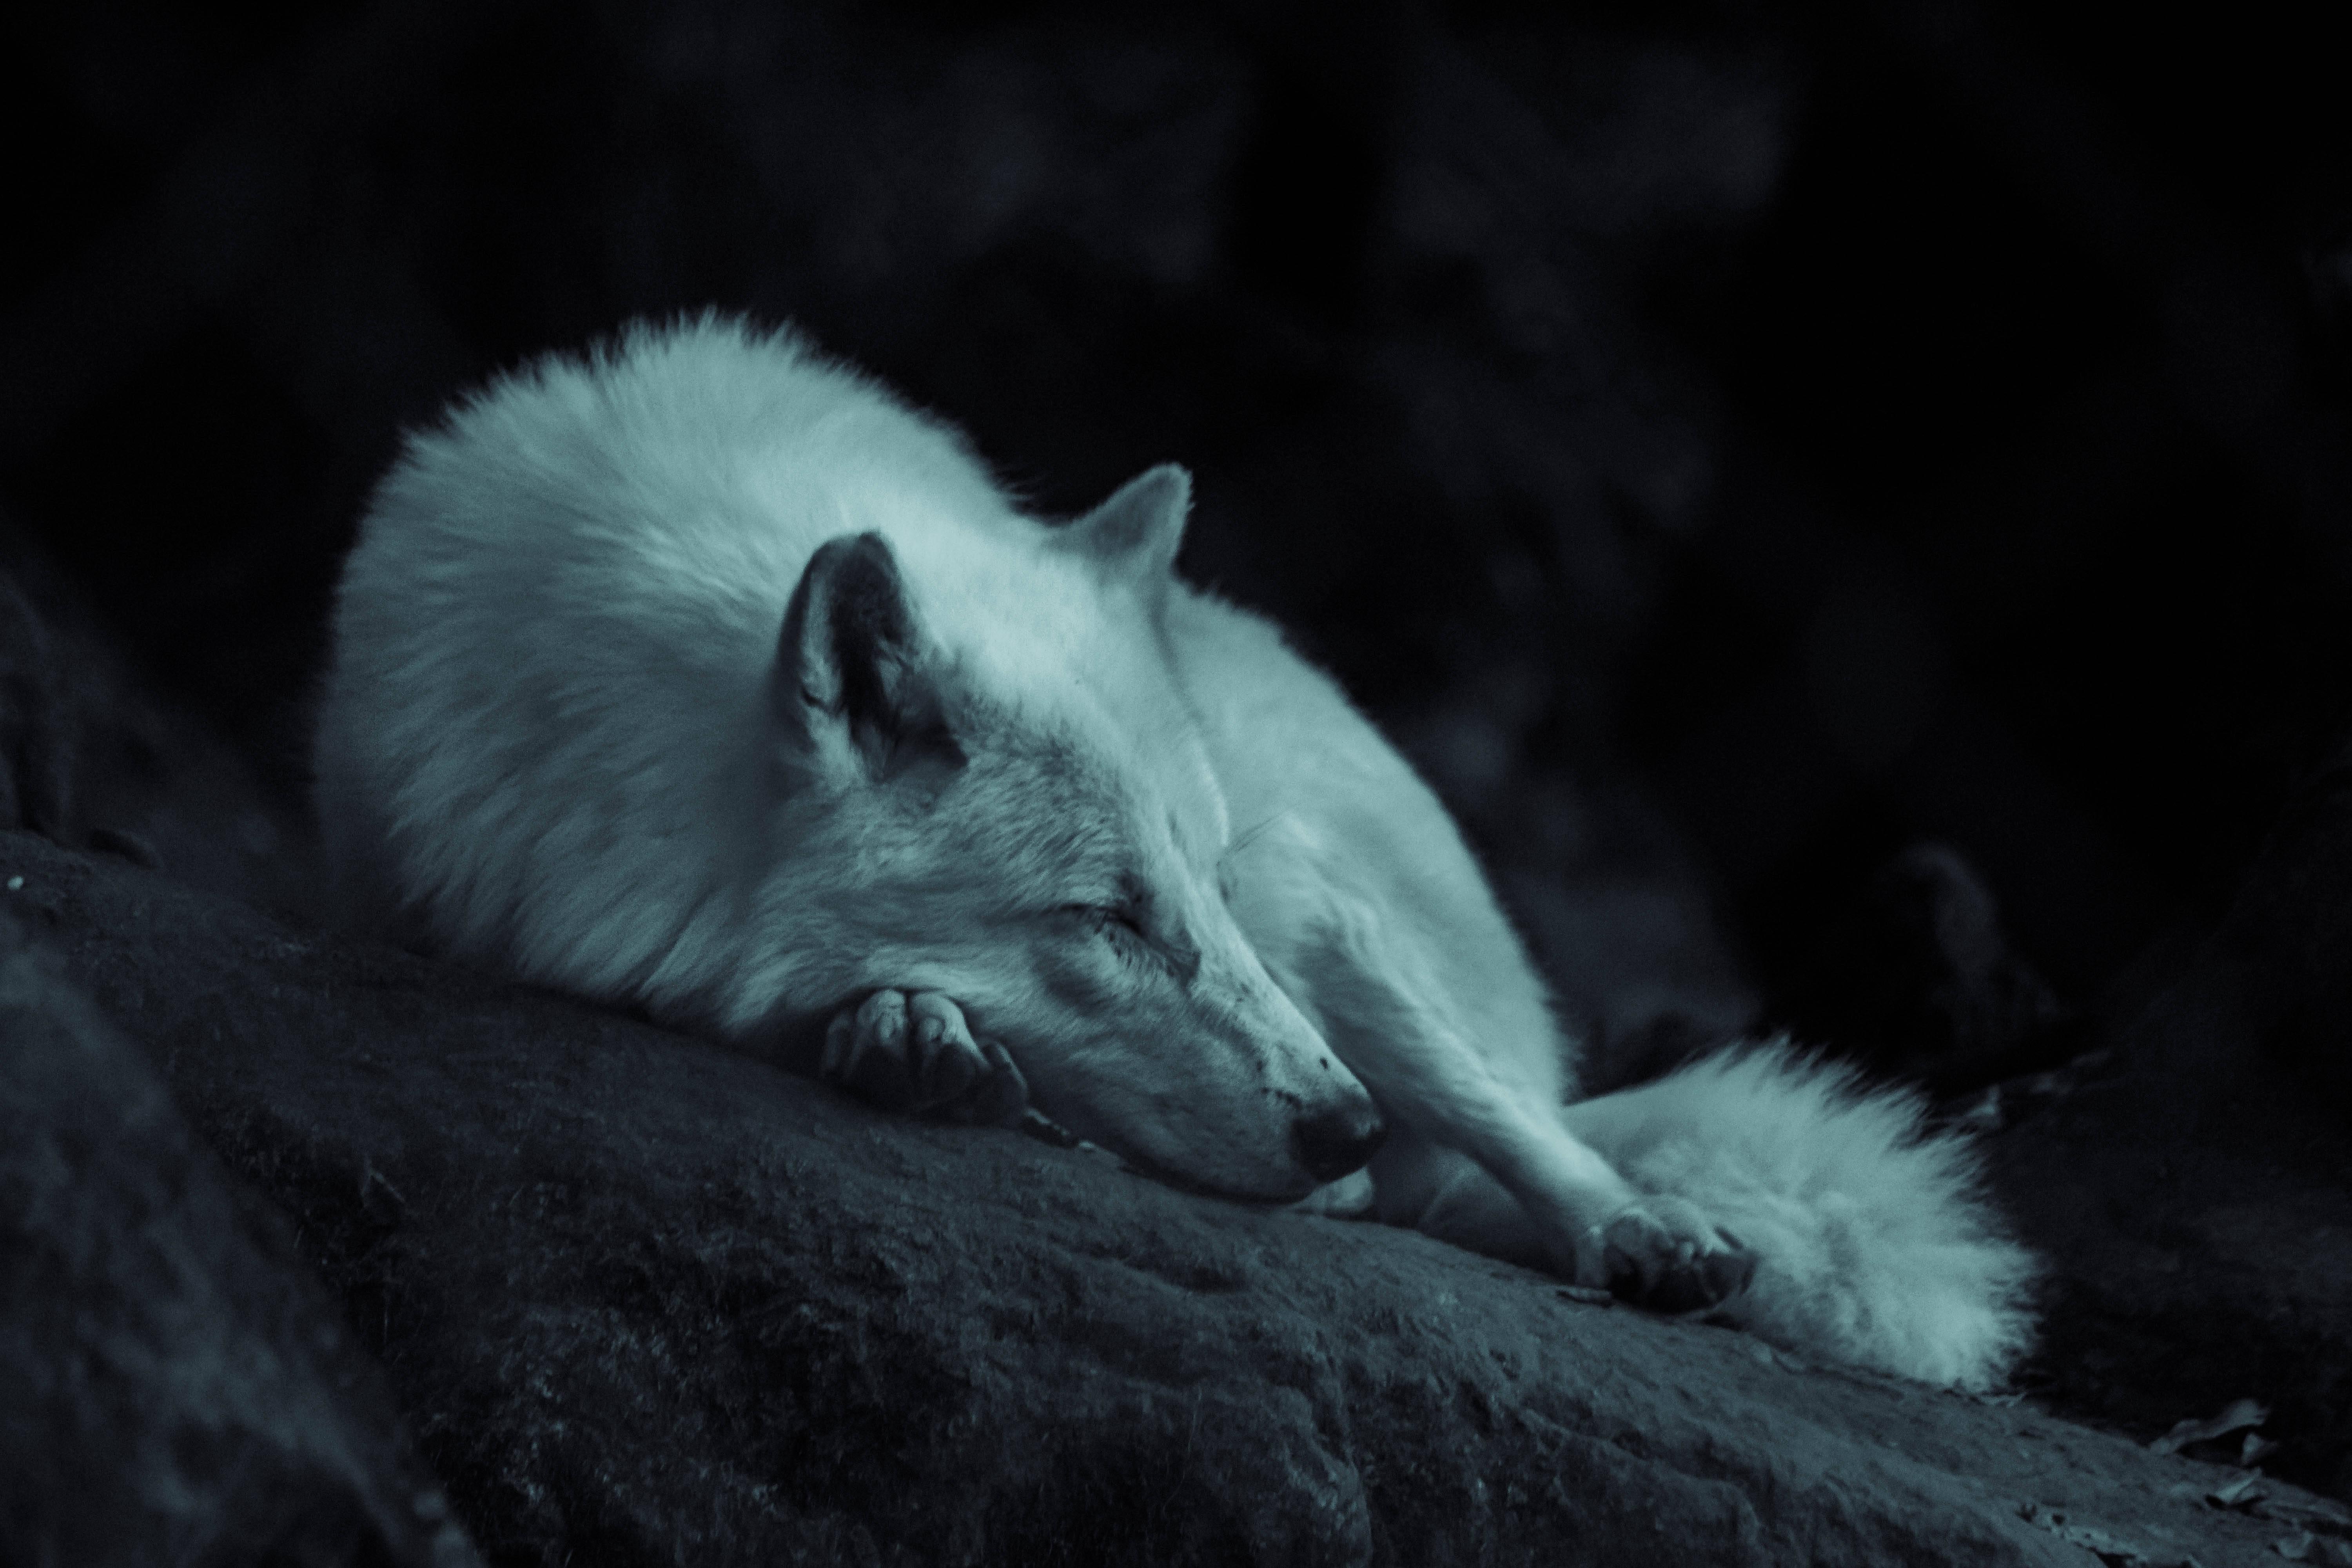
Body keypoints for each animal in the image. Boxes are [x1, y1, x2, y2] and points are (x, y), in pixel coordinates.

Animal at [314, 315, 2034, 1389]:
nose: (1338, 1122)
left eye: (1192, 891)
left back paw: (1640, 1230)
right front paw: (911, 1033)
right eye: (1108, 918)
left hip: (1338, 916)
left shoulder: (1269, 905)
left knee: (1520, 1132)